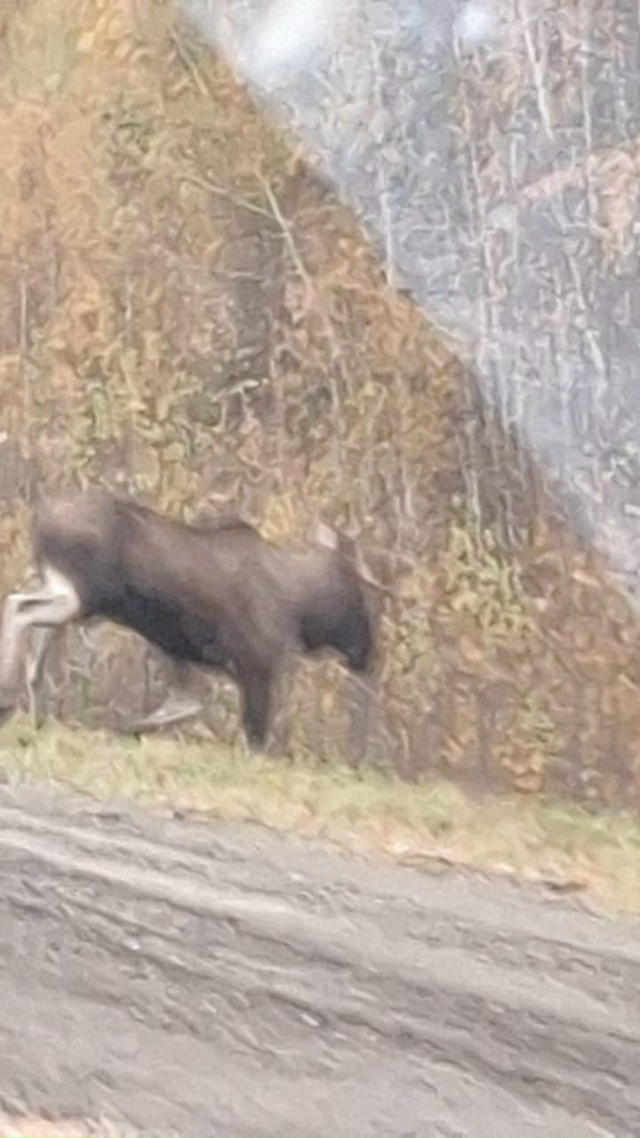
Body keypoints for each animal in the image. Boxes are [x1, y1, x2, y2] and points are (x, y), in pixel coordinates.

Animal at [0, 487, 377, 752]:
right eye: (358, 595)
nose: (367, 655)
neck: (298, 608)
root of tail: (39, 516)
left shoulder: (185, 655)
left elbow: (186, 706)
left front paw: (133, 727)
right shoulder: (256, 665)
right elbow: (254, 736)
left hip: (62, 591)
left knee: (34, 645)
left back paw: (33, 716)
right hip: (79, 596)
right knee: (18, 607)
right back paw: (7, 697)